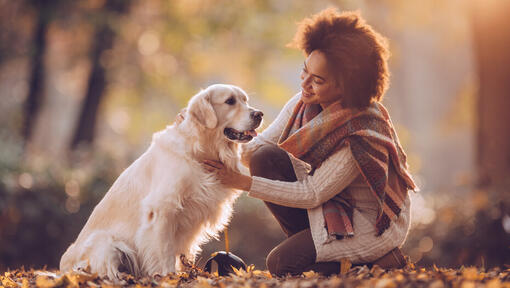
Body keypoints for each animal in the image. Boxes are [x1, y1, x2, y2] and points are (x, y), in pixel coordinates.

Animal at [59, 83, 262, 280]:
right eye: (230, 101)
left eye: (245, 100)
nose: (259, 114)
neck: (199, 151)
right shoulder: (163, 209)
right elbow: (165, 250)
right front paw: (168, 276)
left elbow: (186, 252)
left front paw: (189, 274)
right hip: (106, 242)